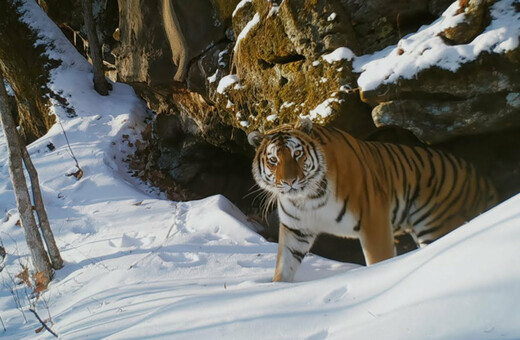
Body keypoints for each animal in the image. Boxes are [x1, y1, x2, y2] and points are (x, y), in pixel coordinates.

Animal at [249, 119, 500, 282]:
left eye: (297, 154)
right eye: (273, 160)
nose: (289, 181)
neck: (308, 198)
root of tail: (481, 178)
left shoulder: (373, 222)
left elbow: (379, 261)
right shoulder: (296, 229)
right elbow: (284, 266)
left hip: (436, 225)